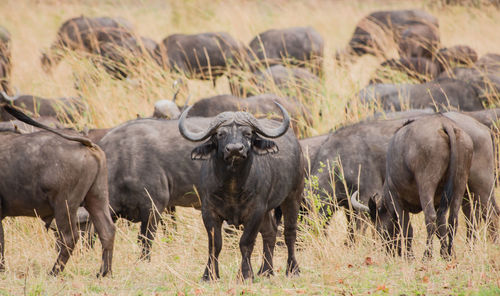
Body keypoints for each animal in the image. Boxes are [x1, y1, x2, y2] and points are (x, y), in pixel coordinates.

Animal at [180, 103, 304, 280]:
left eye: (248, 133)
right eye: (220, 134)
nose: (235, 149)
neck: (232, 187)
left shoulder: (255, 212)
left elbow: (246, 242)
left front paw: (245, 274)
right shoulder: (209, 212)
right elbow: (215, 244)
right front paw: (209, 275)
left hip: (293, 196)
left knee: (289, 233)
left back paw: (292, 270)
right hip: (268, 210)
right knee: (270, 232)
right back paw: (266, 271)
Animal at [356, 115, 472, 260]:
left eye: (380, 229)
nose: (390, 253)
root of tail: (444, 123)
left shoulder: (397, 200)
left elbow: (406, 228)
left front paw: (409, 256)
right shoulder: (439, 202)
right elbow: (441, 227)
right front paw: (445, 252)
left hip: (426, 183)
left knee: (430, 217)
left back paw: (426, 256)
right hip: (460, 181)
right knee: (452, 219)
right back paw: (450, 254)